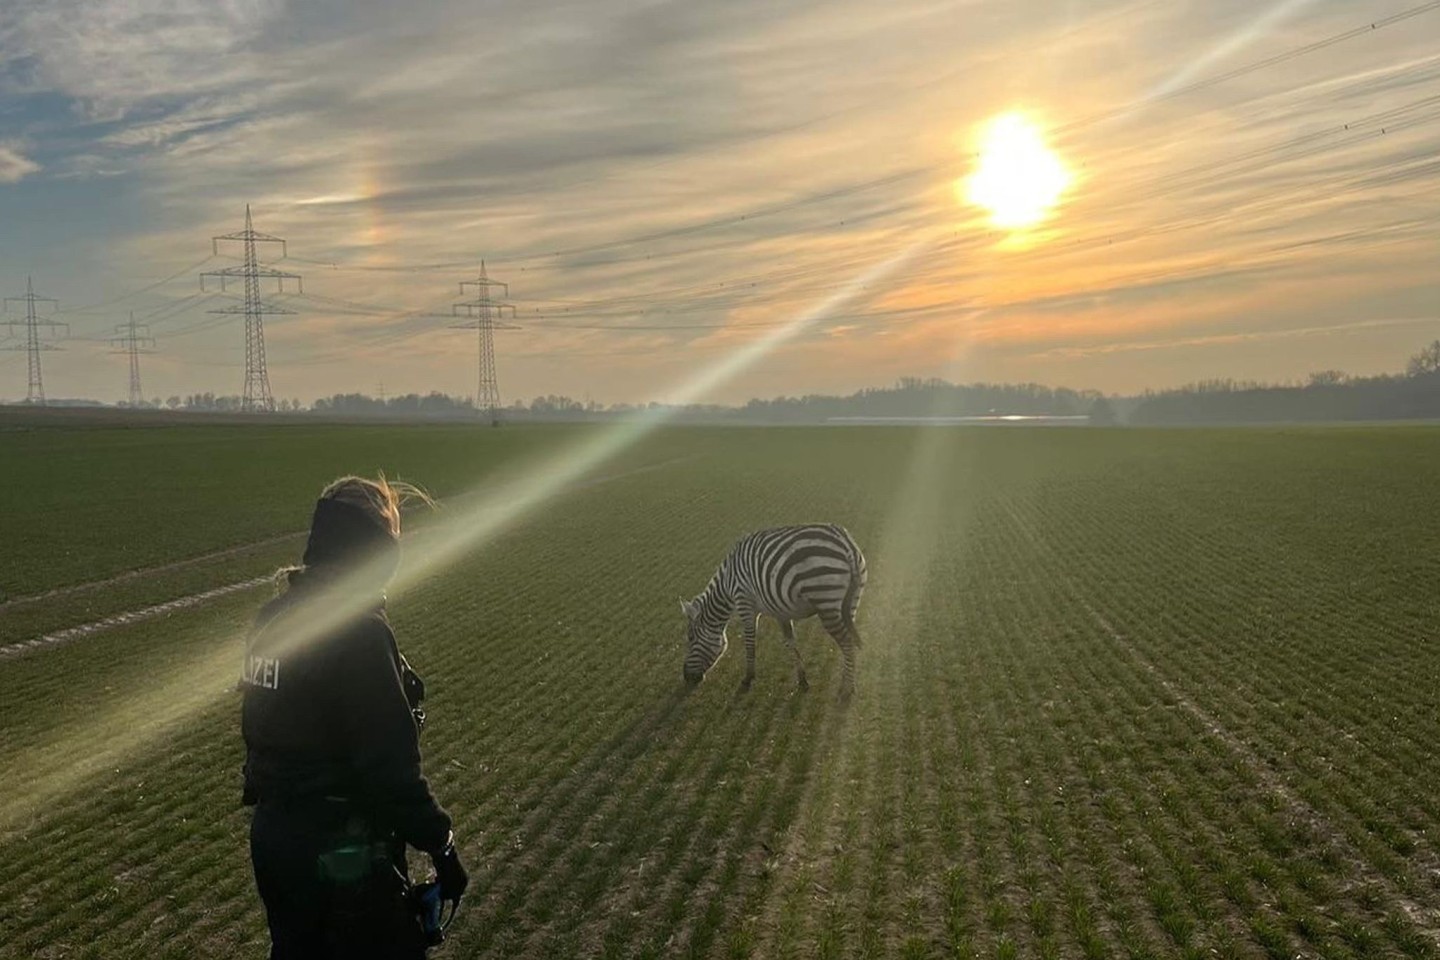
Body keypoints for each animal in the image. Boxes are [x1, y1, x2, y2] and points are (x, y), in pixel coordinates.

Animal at [676, 526, 864, 699]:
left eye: (690, 638)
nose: (686, 677)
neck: (728, 583)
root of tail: (846, 543)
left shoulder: (744, 603)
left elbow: (750, 642)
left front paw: (748, 678)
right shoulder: (780, 612)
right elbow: (790, 643)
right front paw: (802, 680)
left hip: (826, 601)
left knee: (847, 643)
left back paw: (847, 688)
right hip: (850, 604)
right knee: (850, 642)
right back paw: (847, 682)